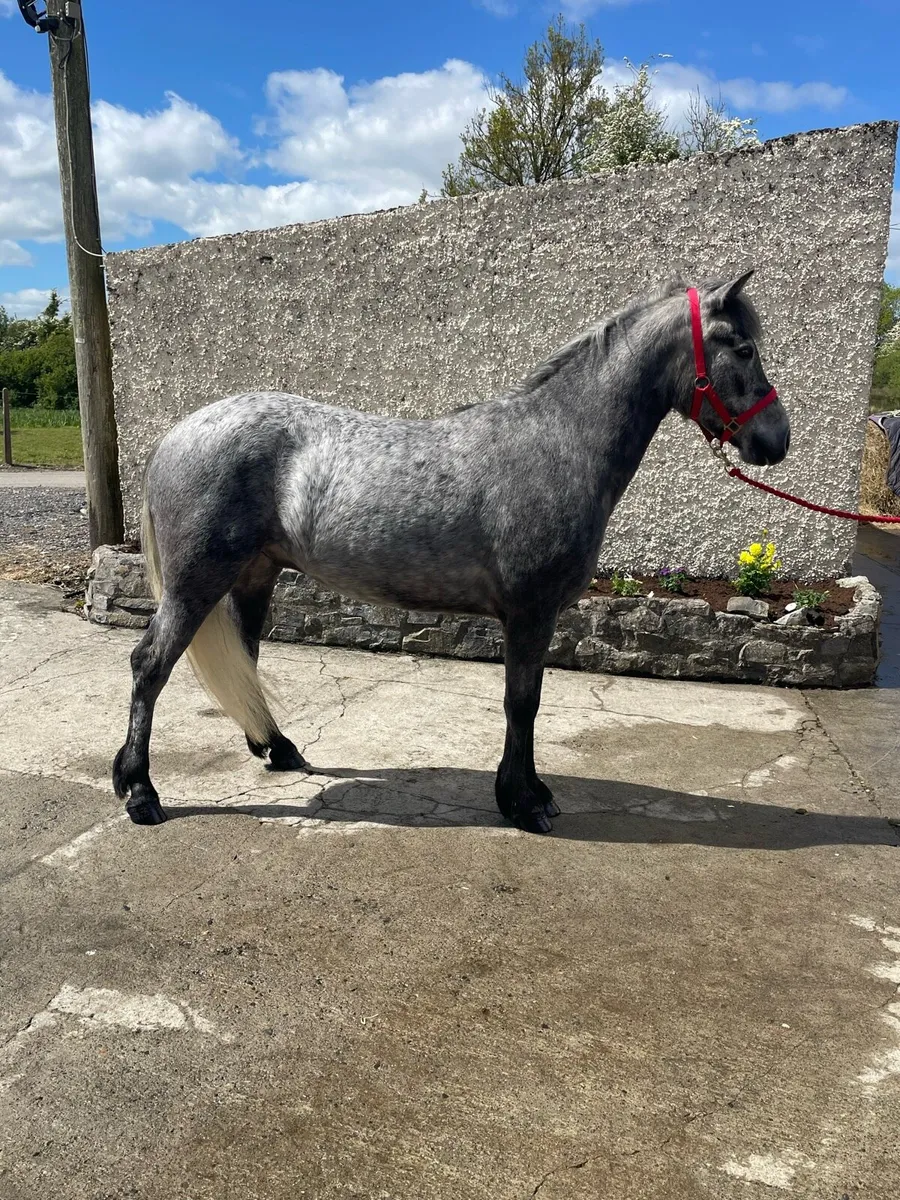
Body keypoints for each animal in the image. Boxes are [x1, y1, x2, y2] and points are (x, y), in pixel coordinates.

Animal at [113, 272, 790, 834]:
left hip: (254, 577)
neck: (559, 440)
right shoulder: (531, 612)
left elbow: (526, 701)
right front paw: (524, 803)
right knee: (150, 665)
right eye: (743, 348)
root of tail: (175, 435)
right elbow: (523, 702)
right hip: (196, 583)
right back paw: (140, 793)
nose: (775, 441)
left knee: (245, 660)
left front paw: (527, 793)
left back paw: (275, 750)